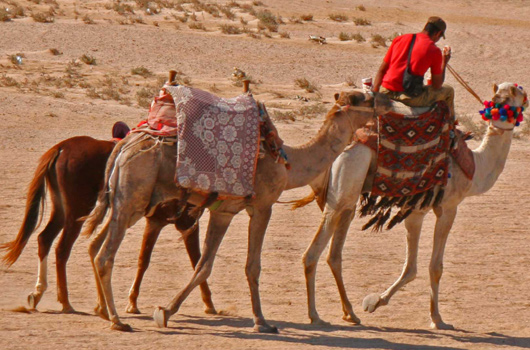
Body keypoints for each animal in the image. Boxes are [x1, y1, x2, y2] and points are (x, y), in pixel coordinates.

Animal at [80, 89, 390, 332]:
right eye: (364, 98)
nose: (386, 100)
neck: (288, 163)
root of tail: (124, 146)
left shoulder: (224, 211)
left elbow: (204, 265)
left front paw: (165, 311)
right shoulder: (263, 206)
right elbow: (252, 266)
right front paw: (262, 321)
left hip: (124, 202)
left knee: (94, 245)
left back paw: (102, 311)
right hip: (133, 195)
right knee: (105, 255)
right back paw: (117, 320)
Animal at [300, 83, 524, 330]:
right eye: (519, 93)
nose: (525, 97)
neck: (475, 167)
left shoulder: (416, 210)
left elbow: (411, 268)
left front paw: (375, 302)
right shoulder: (449, 207)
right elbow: (434, 267)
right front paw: (437, 319)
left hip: (344, 199)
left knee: (333, 255)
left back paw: (348, 313)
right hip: (344, 190)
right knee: (313, 253)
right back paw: (316, 316)